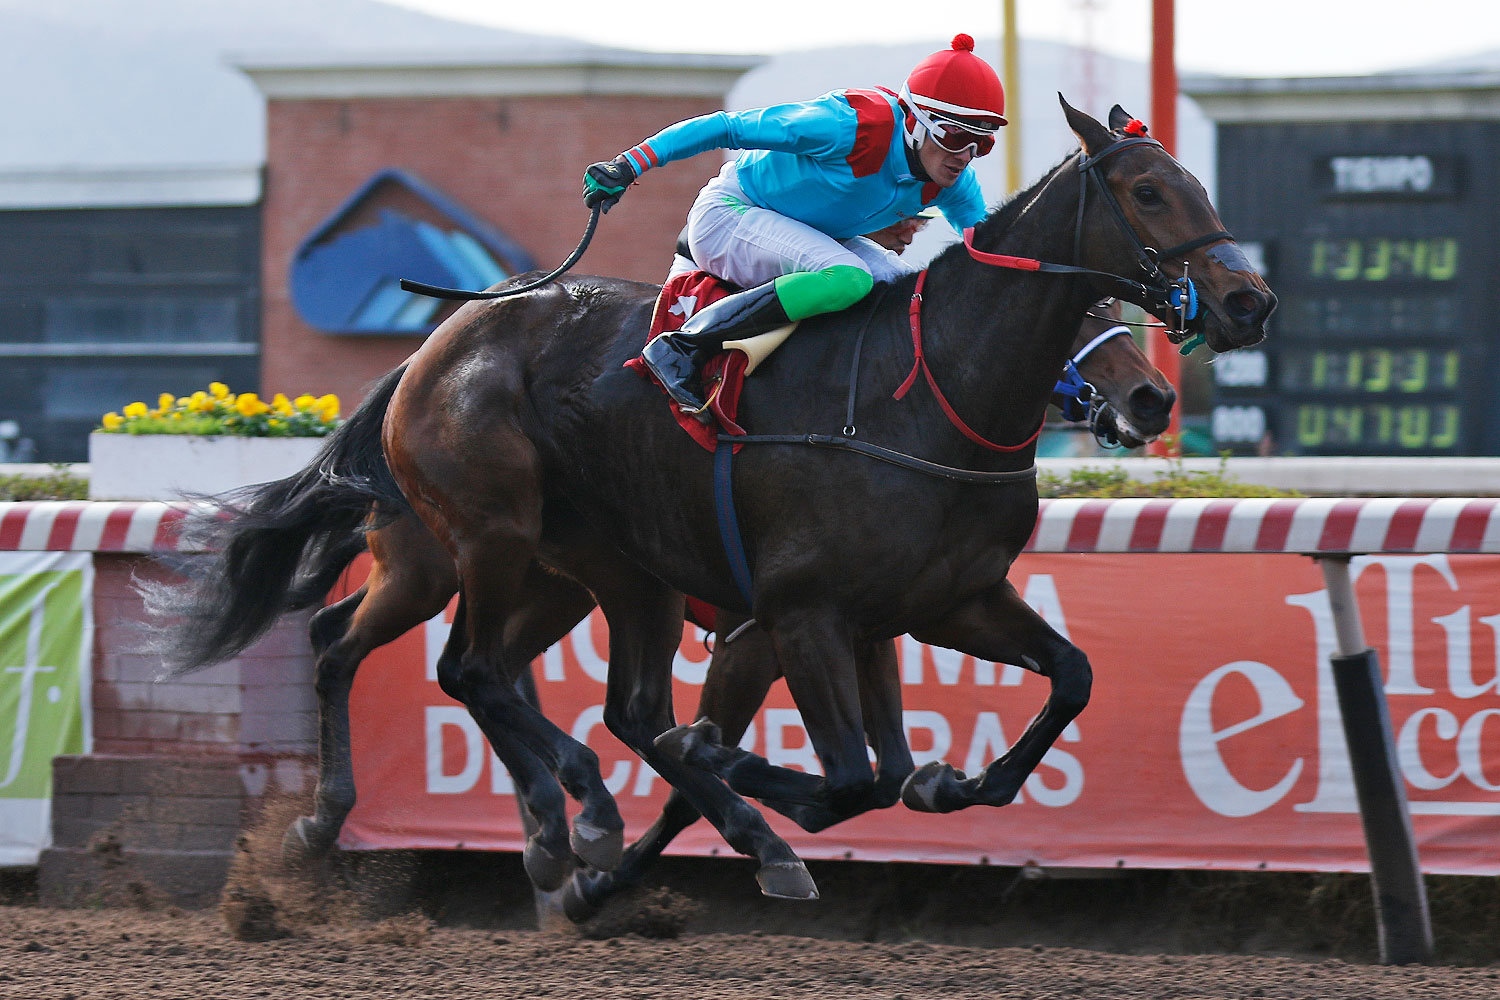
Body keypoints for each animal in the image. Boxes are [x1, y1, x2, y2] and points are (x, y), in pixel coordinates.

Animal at [373, 97, 1272, 901]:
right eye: (1149, 191)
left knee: (614, 705)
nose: (1248, 302)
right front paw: (721, 760)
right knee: (477, 669)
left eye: (1196, 184)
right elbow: (845, 778)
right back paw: (592, 818)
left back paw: (614, 829)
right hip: (494, 533)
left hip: (618, 573)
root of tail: (443, 339)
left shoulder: (937, 603)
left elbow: (1054, 687)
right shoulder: (798, 616)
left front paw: (945, 784)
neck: (928, 395)